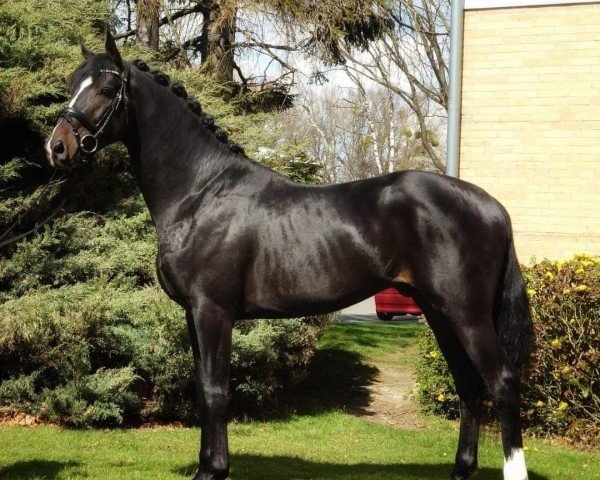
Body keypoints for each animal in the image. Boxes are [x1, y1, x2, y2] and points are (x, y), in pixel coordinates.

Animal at [47, 32, 536, 480]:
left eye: (106, 88)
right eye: (72, 83)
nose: (57, 146)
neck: (200, 192)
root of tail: (493, 206)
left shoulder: (213, 310)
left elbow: (215, 391)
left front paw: (215, 470)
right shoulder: (192, 313)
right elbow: (203, 390)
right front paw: (208, 466)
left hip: (467, 314)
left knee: (502, 382)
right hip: (438, 312)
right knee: (468, 386)